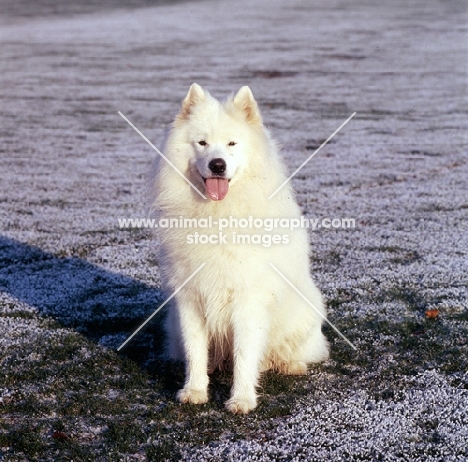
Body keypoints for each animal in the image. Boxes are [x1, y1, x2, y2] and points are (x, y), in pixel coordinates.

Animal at [152, 85, 328, 414]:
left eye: (232, 143)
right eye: (202, 143)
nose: (217, 164)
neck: (218, 215)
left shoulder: (248, 301)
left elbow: (246, 355)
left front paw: (242, 399)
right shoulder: (190, 299)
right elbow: (195, 351)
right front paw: (195, 390)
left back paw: (289, 364)